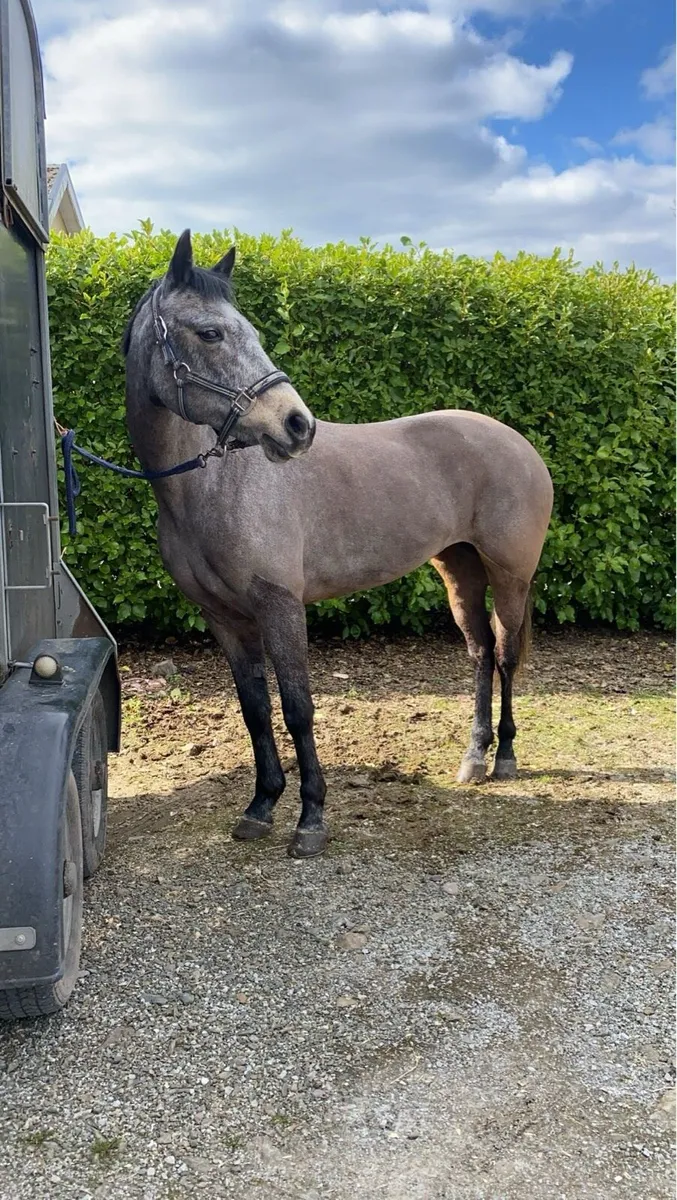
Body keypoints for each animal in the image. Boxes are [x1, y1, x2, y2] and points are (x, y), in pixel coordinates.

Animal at [124, 230, 553, 859]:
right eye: (210, 333)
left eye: (249, 331)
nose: (298, 426)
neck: (212, 485)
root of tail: (517, 443)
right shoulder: (225, 619)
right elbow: (256, 711)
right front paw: (260, 807)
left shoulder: (280, 607)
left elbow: (298, 709)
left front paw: (310, 819)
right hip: (459, 570)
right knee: (478, 652)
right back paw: (473, 758)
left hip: (510, 576)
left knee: (504, 654)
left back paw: (504, 757)